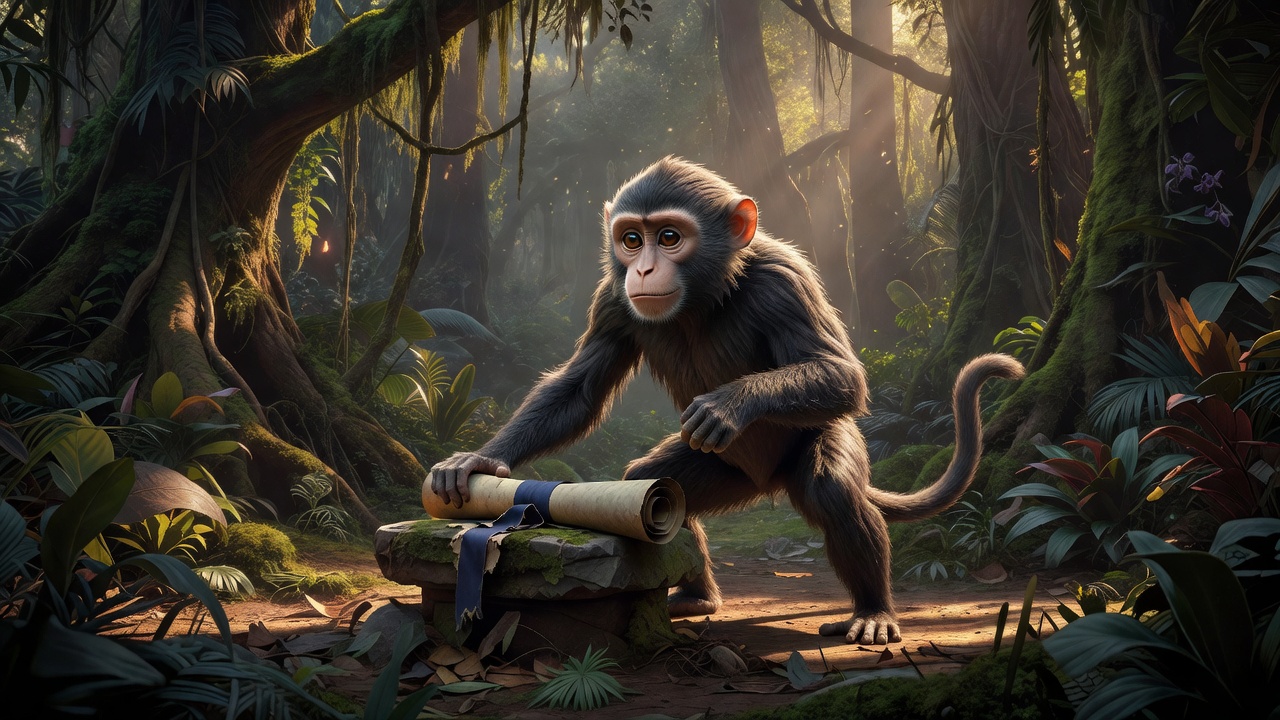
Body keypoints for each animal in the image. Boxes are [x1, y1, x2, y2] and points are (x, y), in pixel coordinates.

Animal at [429, 156, 1024, 645]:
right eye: (631, 239)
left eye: (669, 237)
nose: (643, 268)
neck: (703, 296)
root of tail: (769, 483)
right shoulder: (612, 297)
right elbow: (580, 389)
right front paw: (480, 461)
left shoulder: (784, 279)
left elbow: (841, 374)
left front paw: (730, 404)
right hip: (723, 474)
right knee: (652, 482)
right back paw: (698, 593)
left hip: (818, 443)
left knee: (830, 486)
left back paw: (873, 608)